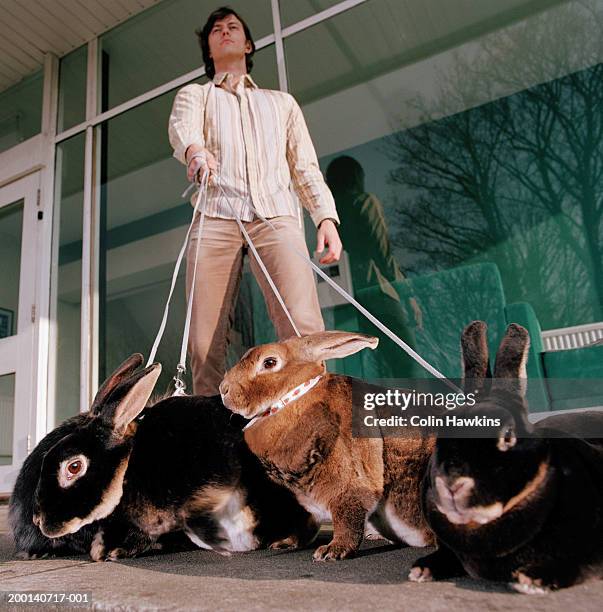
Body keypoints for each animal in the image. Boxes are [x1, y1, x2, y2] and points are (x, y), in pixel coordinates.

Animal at [219, 332, 436, 560]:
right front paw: (285, 543)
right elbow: (304, 524)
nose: (223, 389)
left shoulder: (348, 483)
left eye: (269, 362)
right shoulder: (304, 501)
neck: (292, 397)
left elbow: (346, 517)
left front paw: (333, 550)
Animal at [410, 322, 603, 596]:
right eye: (441, 433)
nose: (452, 484)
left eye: (508, 436)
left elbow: (580, 562)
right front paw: (421, 569)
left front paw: (533, 579)